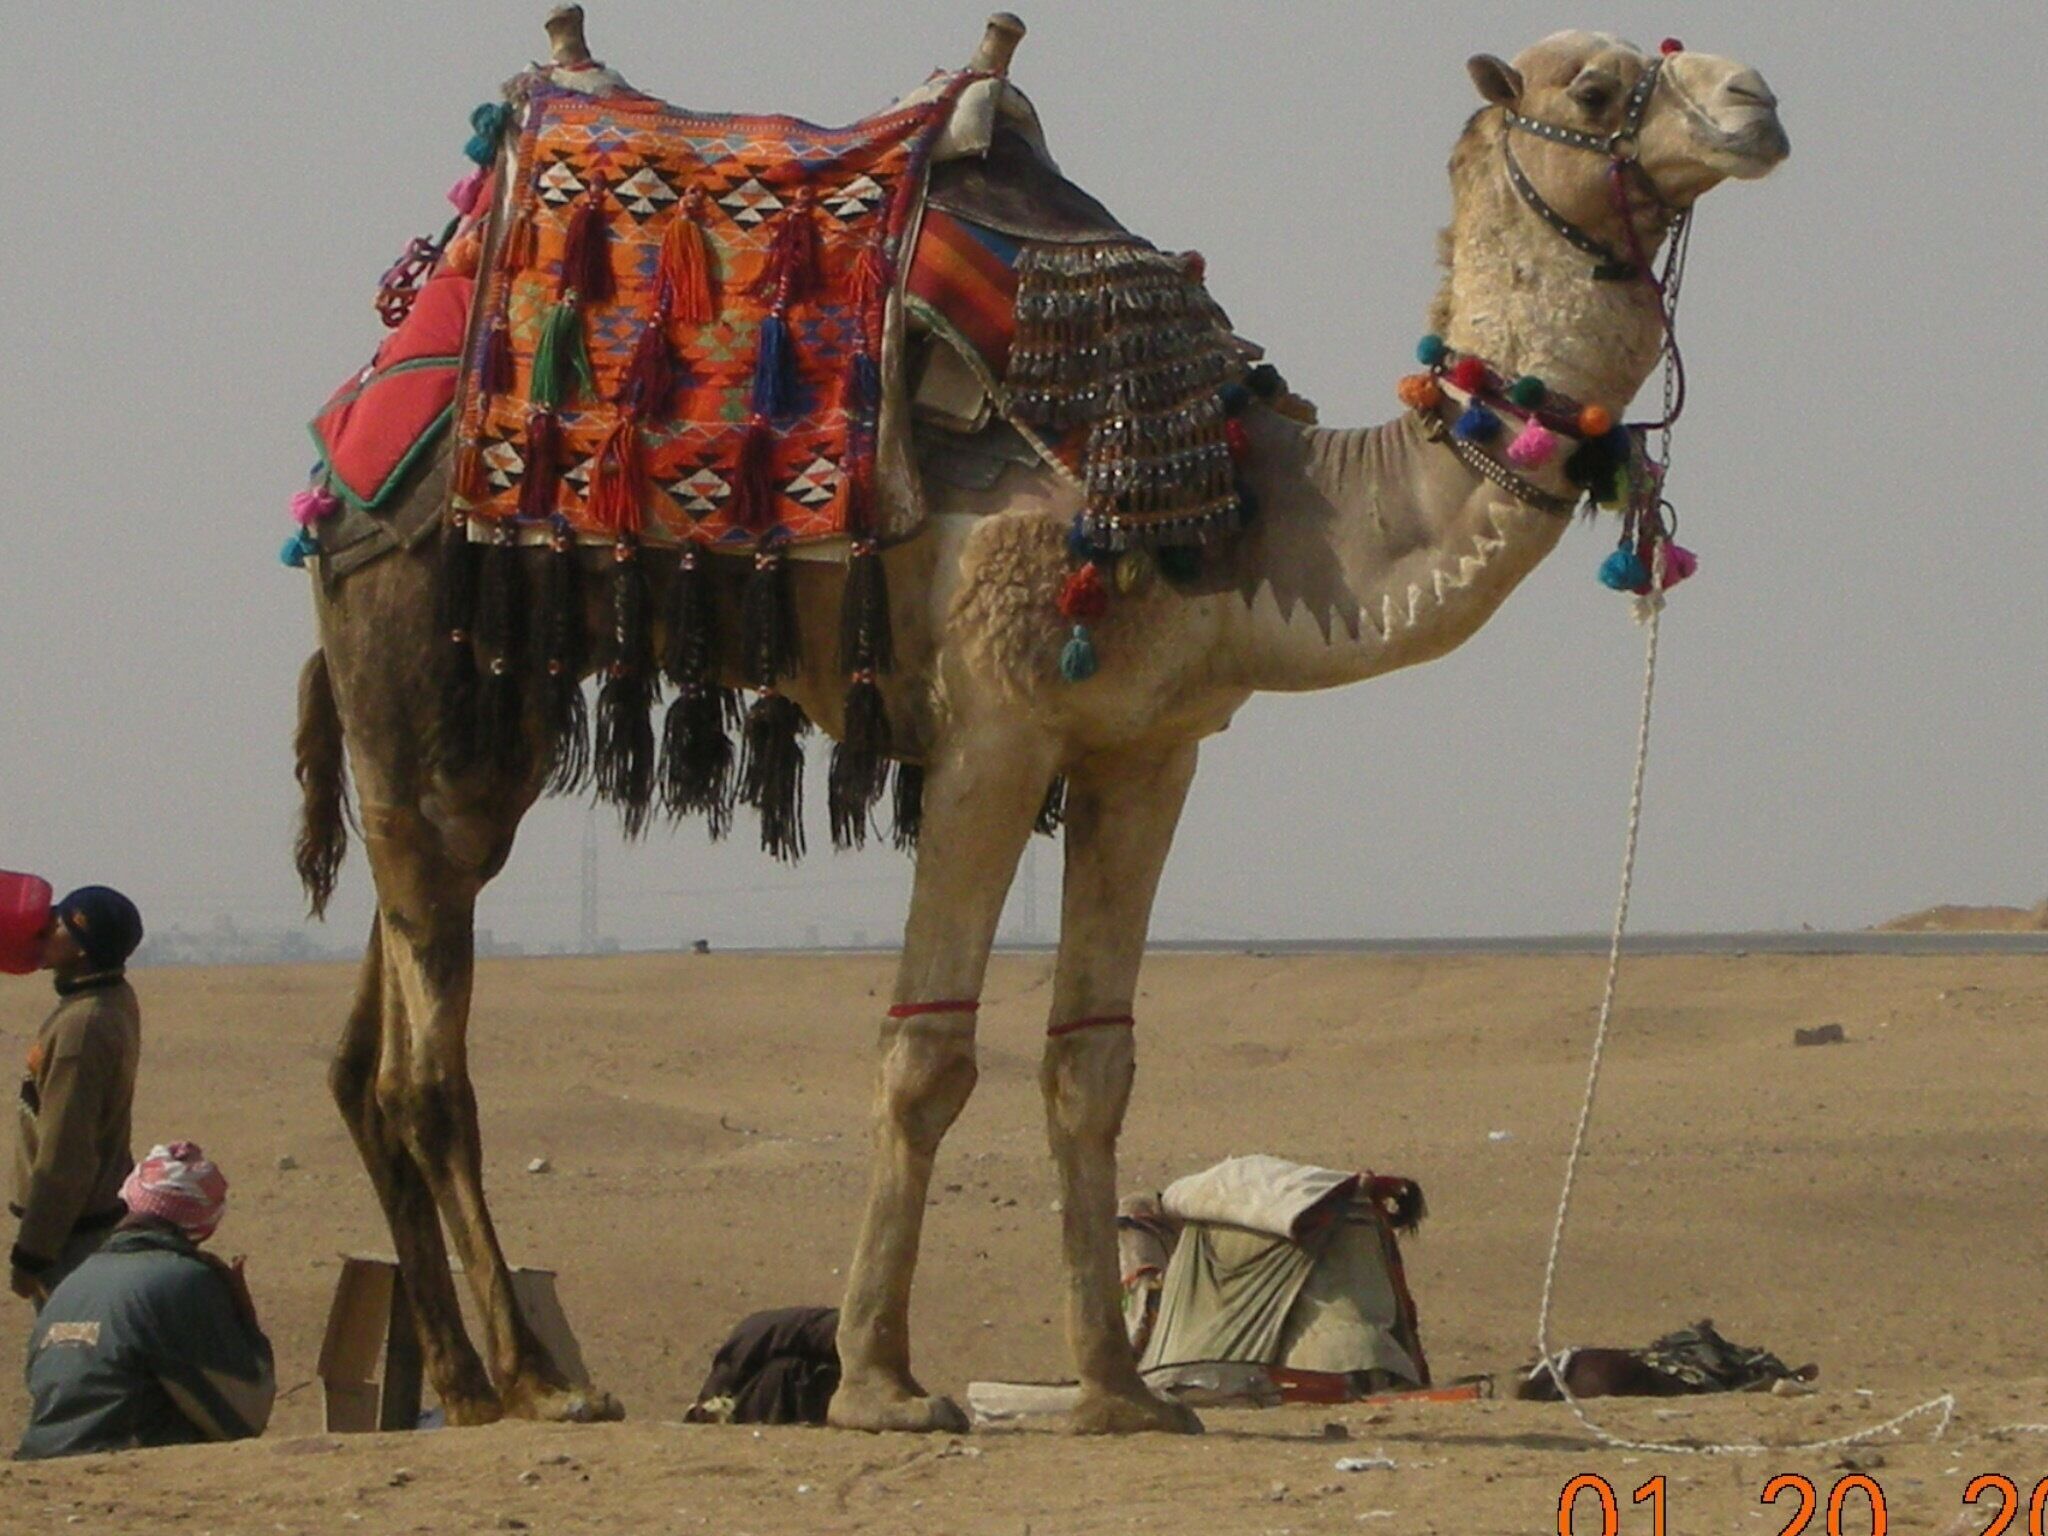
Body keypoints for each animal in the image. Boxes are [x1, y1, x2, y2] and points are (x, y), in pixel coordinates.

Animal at [292, 18, 1787, 1433]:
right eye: (1594, 89)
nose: (1757, 104)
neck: (1247, 509)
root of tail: (358, 418)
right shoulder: (993, 726)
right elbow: (925, 1051)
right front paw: (879, 1382)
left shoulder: (1148, 748)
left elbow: (1092, 1063)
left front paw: (1119, 1394)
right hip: (411, 649)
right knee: (428, 1065)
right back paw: (542, 1384)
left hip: (477, 705)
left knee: (373, 1040)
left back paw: (468, 1381)